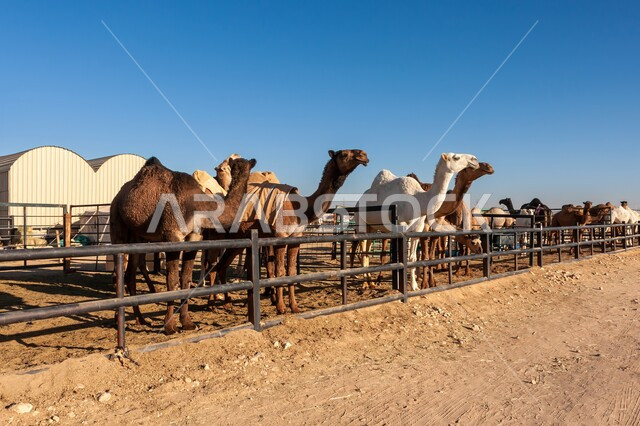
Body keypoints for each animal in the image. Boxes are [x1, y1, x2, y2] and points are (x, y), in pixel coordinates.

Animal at [110, 156, 256, 333]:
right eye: (231, 167)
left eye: (247, 167)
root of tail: (117, 197)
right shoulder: (173, 236)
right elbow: (172, 281)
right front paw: (169, 327)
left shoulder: (194, 238)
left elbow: (185, 279)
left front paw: (187, 323)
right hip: (117, 224)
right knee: (119, 271)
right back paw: (118, 320)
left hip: (138, 237)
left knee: (131, 273)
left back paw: (140, 319)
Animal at [213, 149, 369, 314]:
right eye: (344, 154)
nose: (364, 155)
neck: (300, 208)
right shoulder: (280, 236)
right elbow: (280, 271)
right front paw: (281, 307)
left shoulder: (296, 237)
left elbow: (292, 272)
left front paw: (294, 306)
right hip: (235, 236)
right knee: (220, 264)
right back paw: (224, 302)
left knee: (222, 265)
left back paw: (226, 302)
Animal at [354, 153, 479, 291]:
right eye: (456, 157)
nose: (475, 160)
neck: (418, 199)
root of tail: (358, 202)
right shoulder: (401, 226)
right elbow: (402, 257)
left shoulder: (417, 229)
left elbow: (412, 257)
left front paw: (415, 286)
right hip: (361, 224)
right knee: (363, 251)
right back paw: (365, 284)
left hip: (373, 228)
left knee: (366, 251)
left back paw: (370, 283)